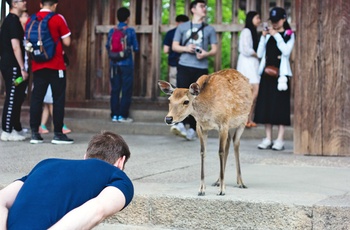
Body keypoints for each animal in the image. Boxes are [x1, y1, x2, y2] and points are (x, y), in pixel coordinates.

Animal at [158, 68, 252, 196]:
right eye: (169, 100)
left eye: (186, 101)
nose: (168, 119)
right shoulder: (201, 127)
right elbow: (203, 152)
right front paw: (202, 189)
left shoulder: (223, 123)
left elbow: (220, 152)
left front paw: (222, 190)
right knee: (228, 143)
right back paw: (218, 181)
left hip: (243, 121)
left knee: (236, 143)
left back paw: (240, 182)